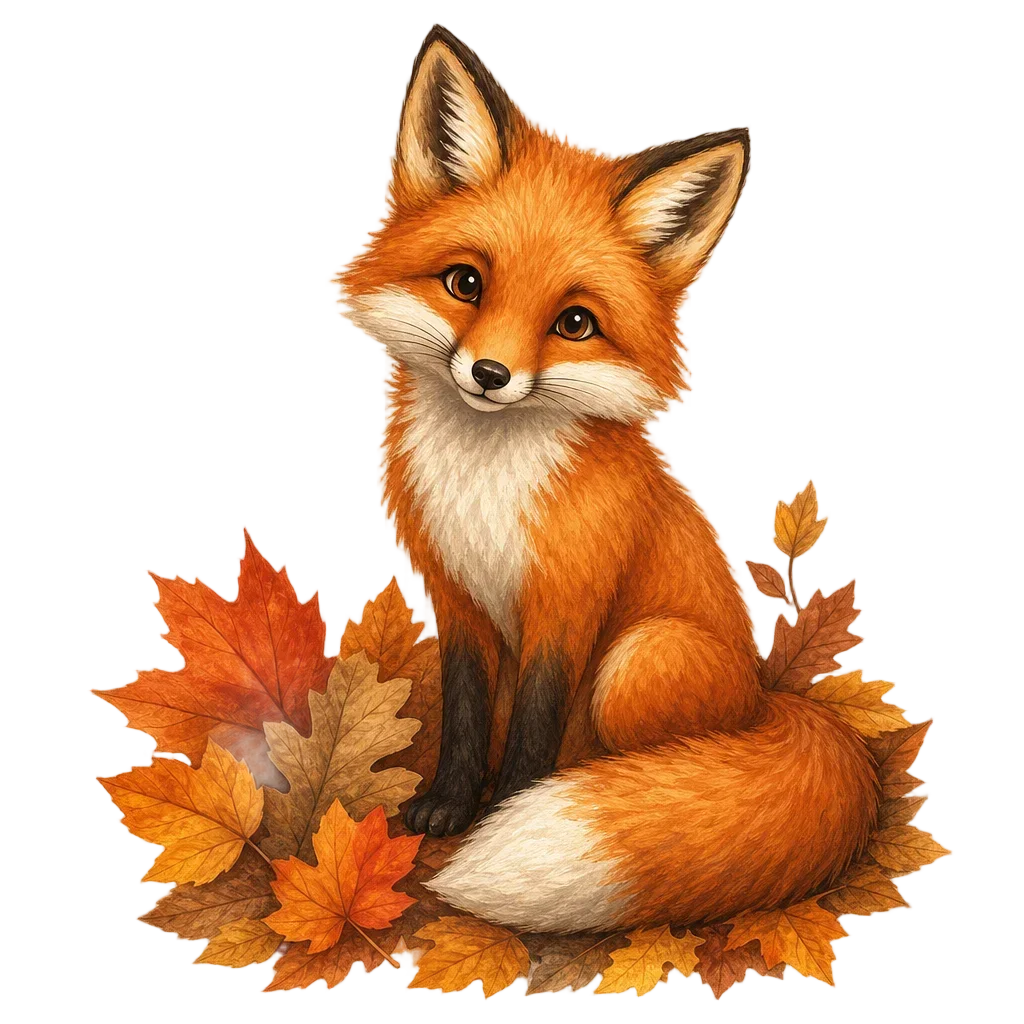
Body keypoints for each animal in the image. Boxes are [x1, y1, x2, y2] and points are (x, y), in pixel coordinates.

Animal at [328, 23, 879, 934]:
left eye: (575, 323)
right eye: (465, 283)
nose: (489, 375)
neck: (488, 483)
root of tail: (767, 701)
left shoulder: (570, 598)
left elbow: (533, 727)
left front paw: (506, 812)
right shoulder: (459, 595)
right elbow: (468, 713)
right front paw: (448, 808)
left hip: (641, 656)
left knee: (657, 757)